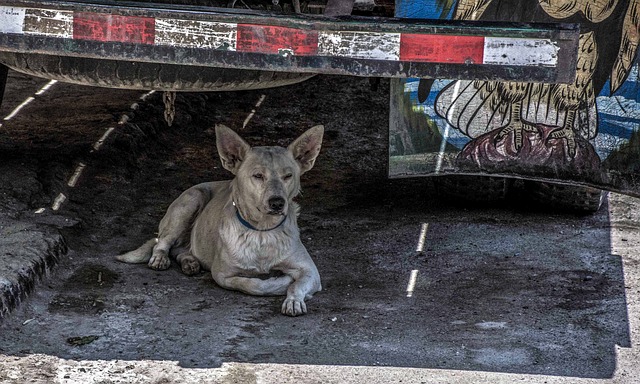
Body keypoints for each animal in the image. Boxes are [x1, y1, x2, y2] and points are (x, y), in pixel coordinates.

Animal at [115, 124, 322, 316]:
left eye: (288, 176)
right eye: (258, 176)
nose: (277, 203)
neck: (262, 232)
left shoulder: (310, 270)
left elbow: (297, 284)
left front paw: (293, 300)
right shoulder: (222, 274)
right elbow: (253, 285)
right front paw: (279, 282)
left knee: (180, 249)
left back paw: (189, 262)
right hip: (190, 201)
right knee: (163, 243)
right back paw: (160, 258)